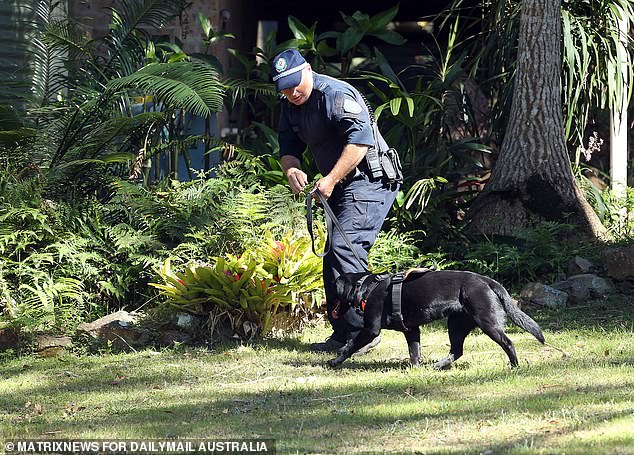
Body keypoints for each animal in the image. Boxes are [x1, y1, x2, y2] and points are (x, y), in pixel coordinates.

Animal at [328, 270, 540, 370]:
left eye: (332, 287)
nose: (326, 303)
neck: (365, 288)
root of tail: (487, 281)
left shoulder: (370, 329)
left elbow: (350, 346)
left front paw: (334, 361)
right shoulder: (411, 330)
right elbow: (414, 352)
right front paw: (414, 369)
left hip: (487, 321)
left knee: (508, 342)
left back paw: (514, 366)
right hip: (456, 325)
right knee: (457, 351)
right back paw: (437, 366)